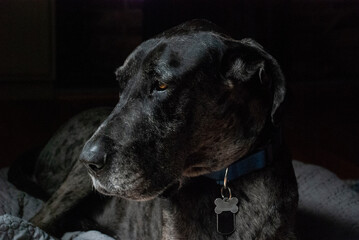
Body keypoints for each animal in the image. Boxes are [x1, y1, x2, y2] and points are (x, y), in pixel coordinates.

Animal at [10, 19, 298, 239]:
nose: (87, 160)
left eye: (161, 85)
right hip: (73, 186)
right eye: (121, 84)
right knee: (36, 223)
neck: (225, 180)